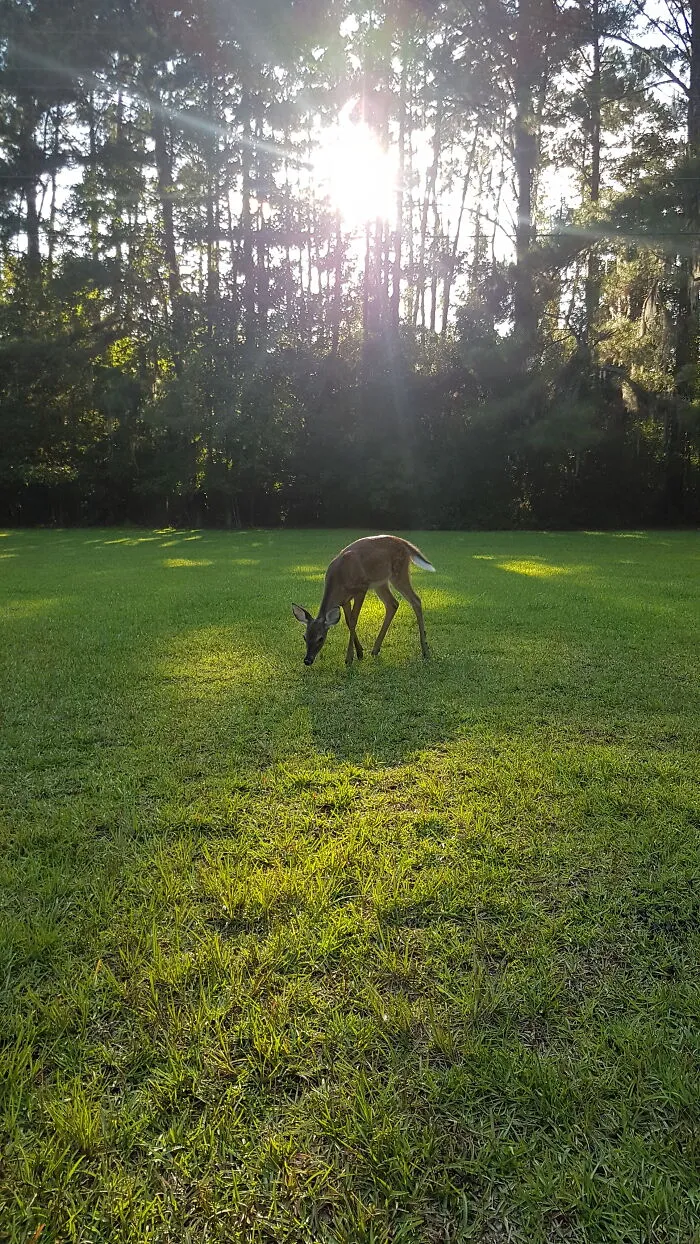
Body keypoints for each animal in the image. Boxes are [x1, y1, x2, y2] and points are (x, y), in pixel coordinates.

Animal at [292, 534, 435, 666]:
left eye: (320, 638)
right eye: (305, 637)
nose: (307, 660)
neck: (339, 580)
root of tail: (405, 543)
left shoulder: (361, 589)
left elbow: (354, 620)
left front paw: (349, 658)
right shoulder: (344, 600)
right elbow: (348, 622)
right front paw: (360, 652)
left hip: (398, 573)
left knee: (416, 600)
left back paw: (425, 650)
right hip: (380, 583)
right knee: (393, 604)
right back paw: (375, 650)